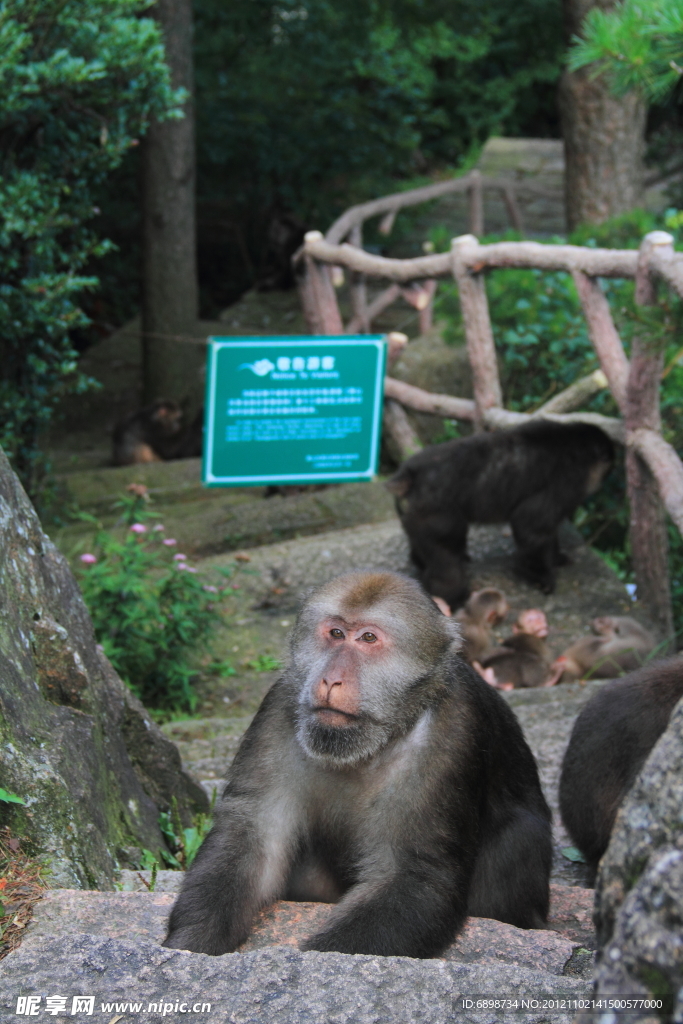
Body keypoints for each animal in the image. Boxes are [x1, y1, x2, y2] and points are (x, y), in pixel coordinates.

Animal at [162, 573, 552, 954]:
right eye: (336, 633)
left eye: (367, 638)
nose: (330, 678)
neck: (382, 735)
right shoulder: (279, 705)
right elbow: (253, 835)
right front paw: (189, 945)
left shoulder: (455, 726)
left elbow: (416, 876)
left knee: (521, 836)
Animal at [387, 419, 618, 610]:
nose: (606, 477)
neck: (576, 449)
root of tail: (411, 473)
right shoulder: (566, 482)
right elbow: (530, 526)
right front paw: (540, 576)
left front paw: (556, 557)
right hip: (435, 514)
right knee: (448, 556)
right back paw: (451, 597)